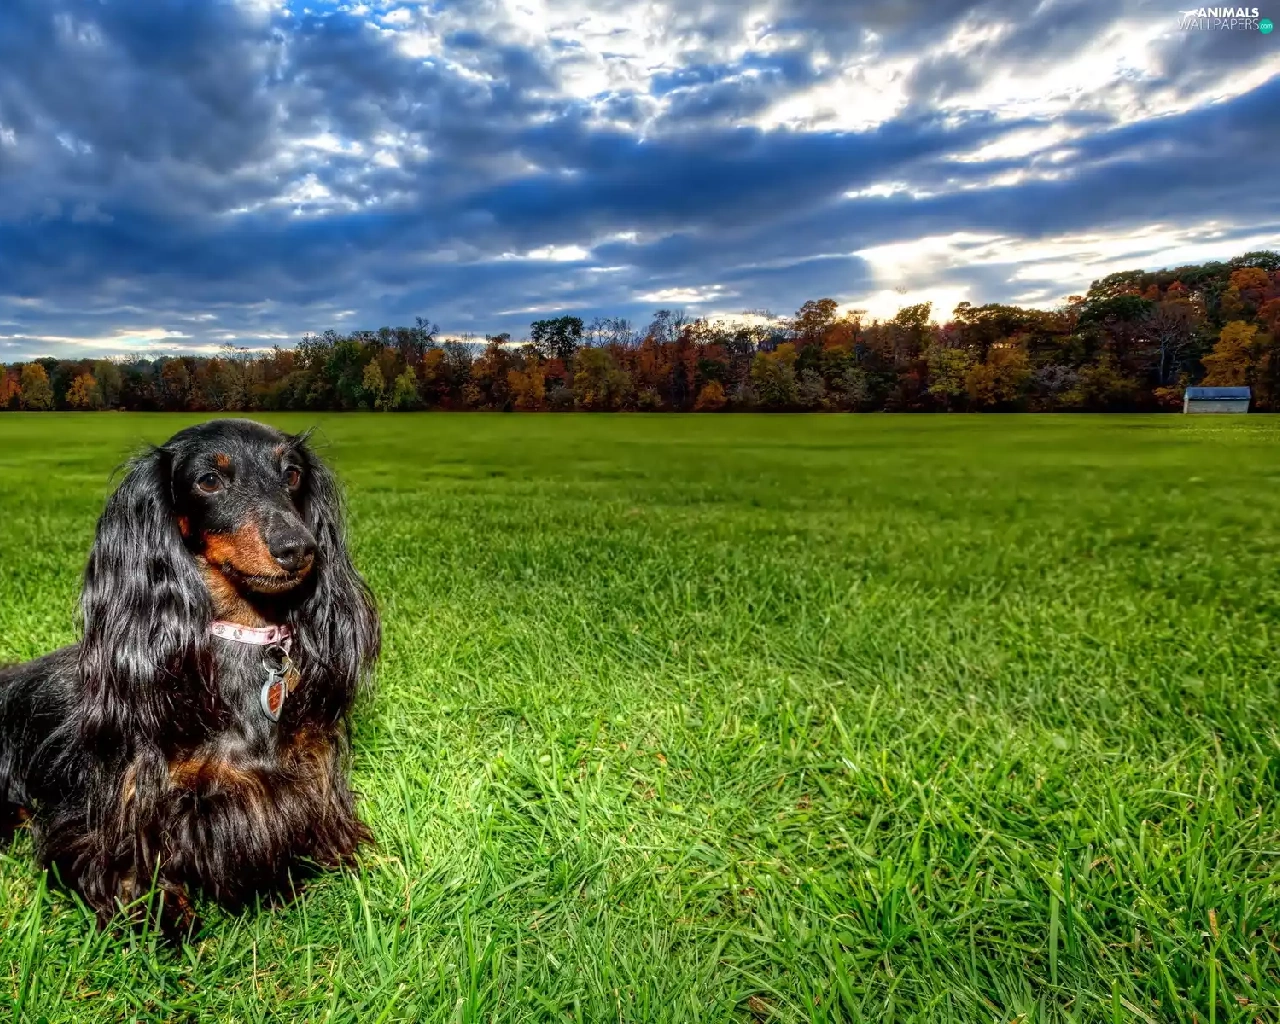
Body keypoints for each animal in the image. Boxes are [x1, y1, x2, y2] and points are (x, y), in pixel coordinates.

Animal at [0, 418, 380, 936]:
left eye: (292, 474)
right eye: (209, 481)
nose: (300, 548)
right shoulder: (107, 817)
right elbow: (127, 874)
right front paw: (169, 924)